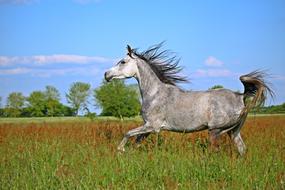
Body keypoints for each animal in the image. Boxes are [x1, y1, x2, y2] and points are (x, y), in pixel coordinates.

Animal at [104, 43, 272, 154]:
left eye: (122, 62)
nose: (106, 74)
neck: (154, 93)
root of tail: (240, 96)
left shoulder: (152, 126)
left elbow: (127, 133)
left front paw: (120, 150)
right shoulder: (147, 127)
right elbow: (137, 141)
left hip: (215, 131)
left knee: (215, 150)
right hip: (234, 132)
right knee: (242, 149)